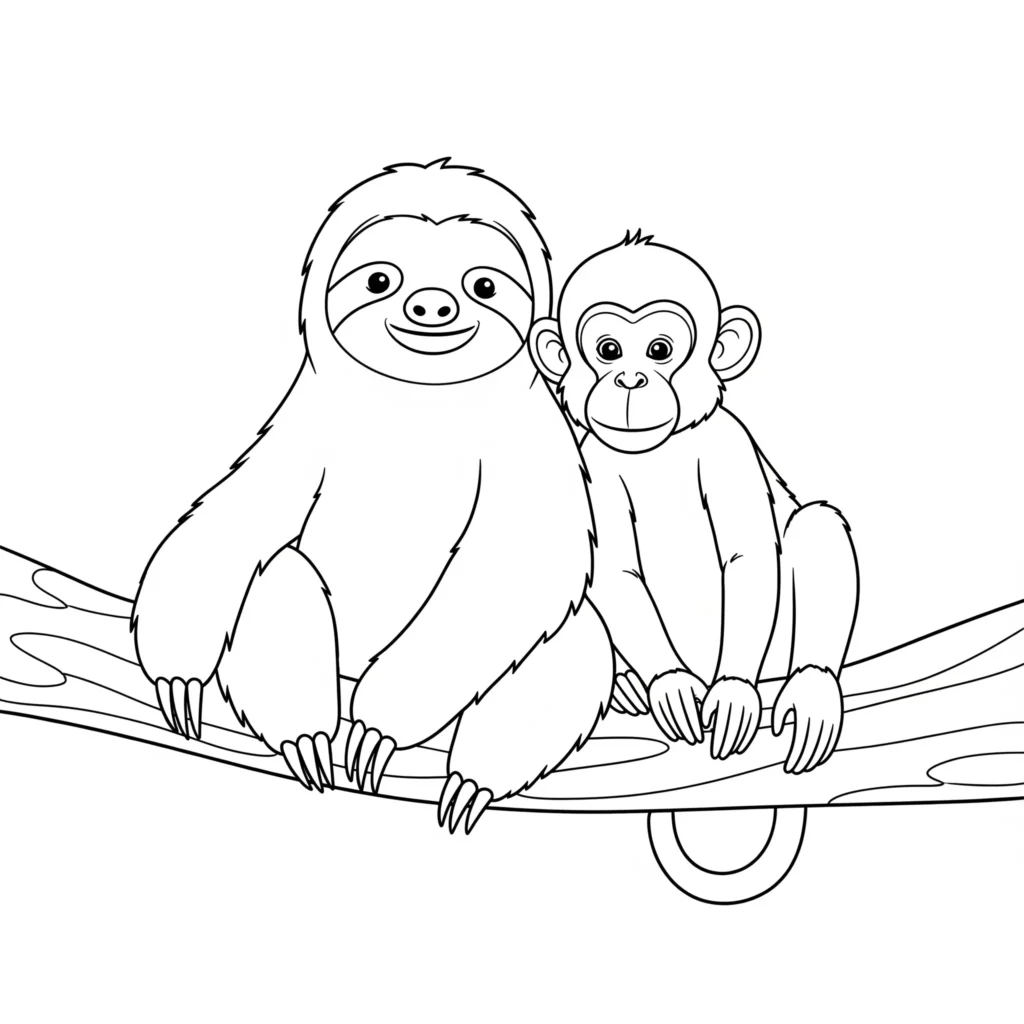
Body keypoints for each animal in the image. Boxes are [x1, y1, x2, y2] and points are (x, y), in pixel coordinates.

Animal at [131, 159, 614, 831]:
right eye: (380, 279)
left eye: (484, 286)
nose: (431, 304)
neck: (418, 404)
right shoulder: (305, 425)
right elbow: (233, 524)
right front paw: (179, 671)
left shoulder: (535, 443)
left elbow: (514, 573)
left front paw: (378, 726)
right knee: (282, 571)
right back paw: (304, 735)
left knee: (576, 639)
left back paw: (472, 779)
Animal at [528, 232, 859, 773]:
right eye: (608, 350)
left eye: (659, 350)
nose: (630, 380)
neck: (658, 453)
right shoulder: (592, 467)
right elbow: (614, 570)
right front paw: (670, 685)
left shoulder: (729, 446)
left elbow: (748, 554)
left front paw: (733, 694)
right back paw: (627, 684)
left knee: (816, 525)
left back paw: (812, 689)